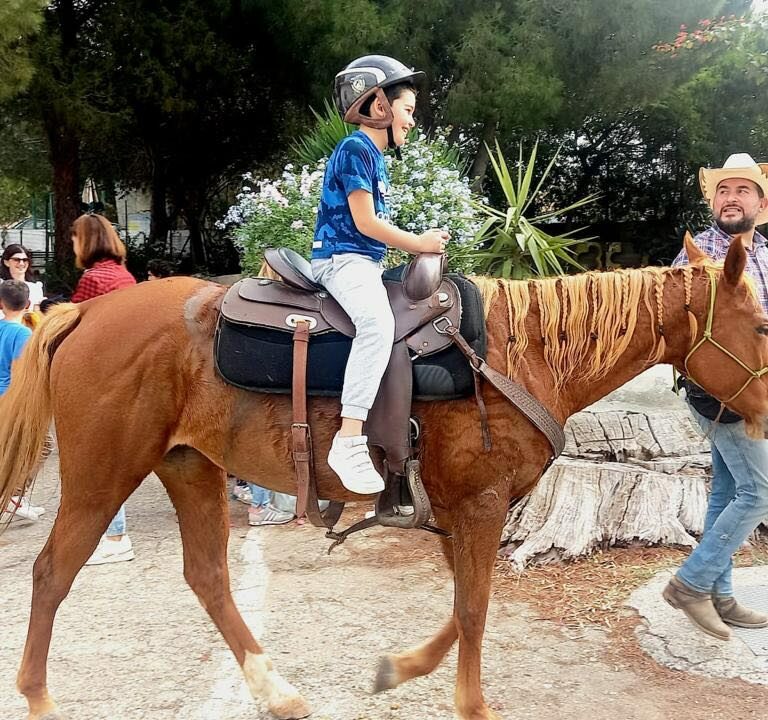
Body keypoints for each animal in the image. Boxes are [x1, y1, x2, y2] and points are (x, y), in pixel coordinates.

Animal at [1, 236, 768, 720]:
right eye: (761, 324)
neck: (517, 353)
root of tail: (83, 311)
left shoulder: (458, 509)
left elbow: (462, 609)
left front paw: (402, 669)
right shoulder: (482, 505)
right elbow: (474, 611)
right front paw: (473, 705)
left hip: (189, 466)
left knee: (208, 577)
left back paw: (276, 691)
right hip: (103, 474)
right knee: (51, 573)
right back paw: (38, 697)